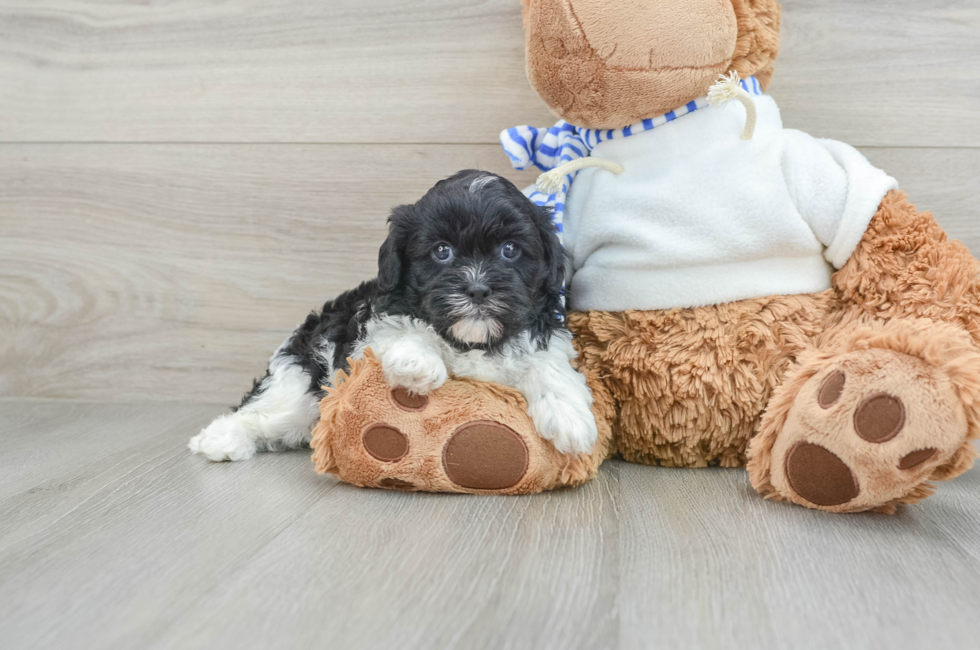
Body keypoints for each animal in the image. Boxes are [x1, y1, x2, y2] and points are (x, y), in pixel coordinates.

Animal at [187, 168, 592, 460]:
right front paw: (418, 364)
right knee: (264, 410)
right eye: (441, 251)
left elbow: (548, 364)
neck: (469, 341)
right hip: (300, 387)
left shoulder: (542, 336)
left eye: (510, 250)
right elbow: (403, 328)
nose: (477, 290)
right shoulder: (372, 327)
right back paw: (219, 440)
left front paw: (571, 418)